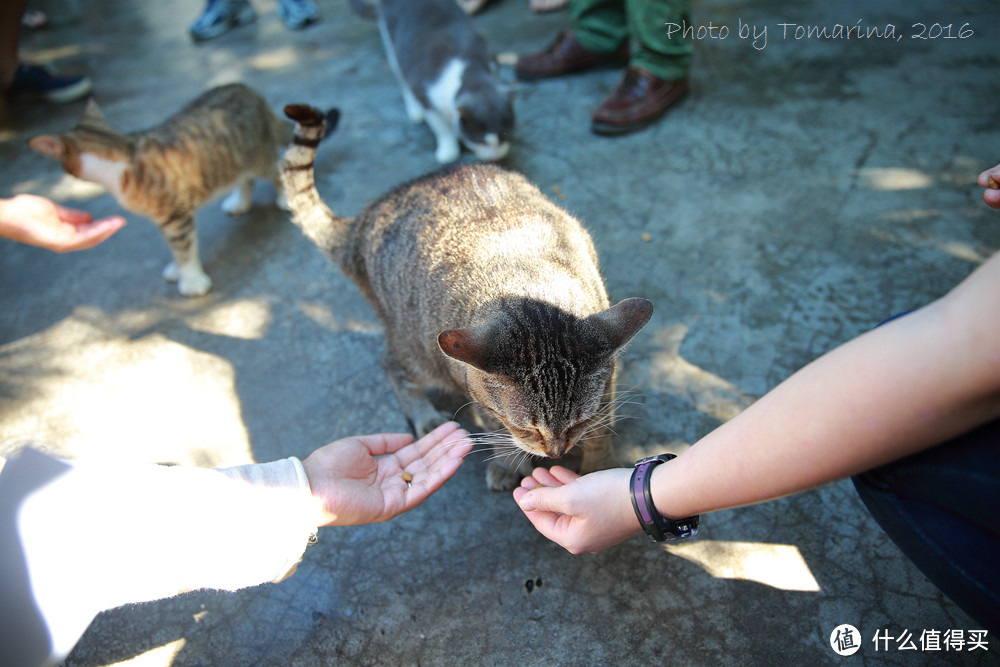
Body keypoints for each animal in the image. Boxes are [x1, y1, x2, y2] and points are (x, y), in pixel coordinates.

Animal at [284, 104, 656, 490]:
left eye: (577, 423)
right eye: (527, 428)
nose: (555, 452)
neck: (529, 282)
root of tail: (366, 217)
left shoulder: (605, 393)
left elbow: (601, 432)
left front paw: (599, 470)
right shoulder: (479, 397)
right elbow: (496, 431)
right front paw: (507, 464)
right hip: (417, 350)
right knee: (390, 363)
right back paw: (423, 414)